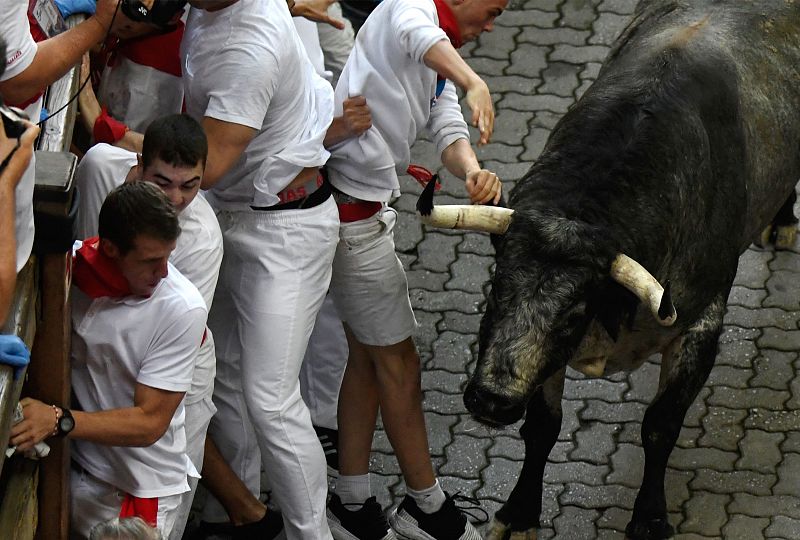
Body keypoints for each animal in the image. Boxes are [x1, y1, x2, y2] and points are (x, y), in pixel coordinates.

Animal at [418, 1, 800, 540]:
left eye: (575, 311)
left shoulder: (701, 321)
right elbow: (542, 426)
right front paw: (519, 512)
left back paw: (783, 219)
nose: (492, 399)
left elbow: (660, 426)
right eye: (494, 288)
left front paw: (649, 517)